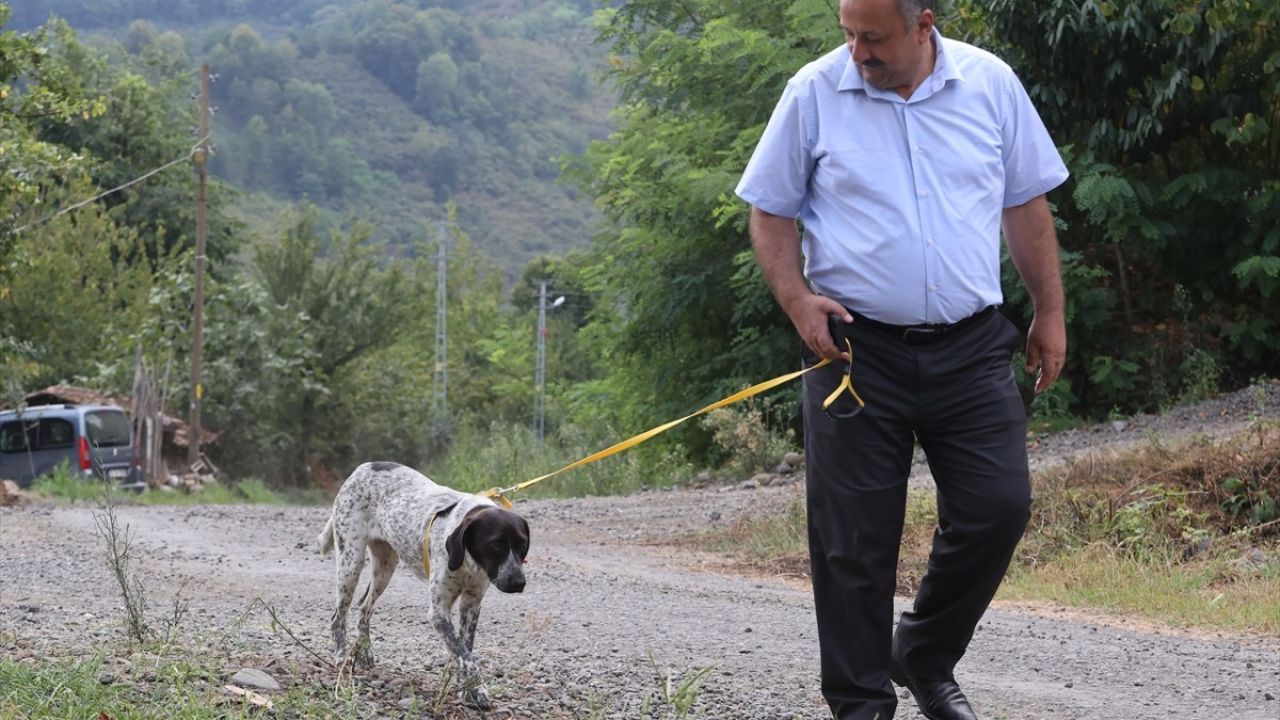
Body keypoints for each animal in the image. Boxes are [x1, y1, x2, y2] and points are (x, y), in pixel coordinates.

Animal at [318, 458, 529, 707]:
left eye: (523, 545)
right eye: (495, 544)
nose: (518, 582)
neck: (469, 563)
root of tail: (363, 467)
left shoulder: (472, 603)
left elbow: (465, 649)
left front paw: (465, 690)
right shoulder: (439, 611)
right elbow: (464, 655)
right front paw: (477, 690)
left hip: (385, 566)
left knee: (364, 607)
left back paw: (365, 652)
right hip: (351, 562)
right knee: (338, 617)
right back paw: (341, 658)